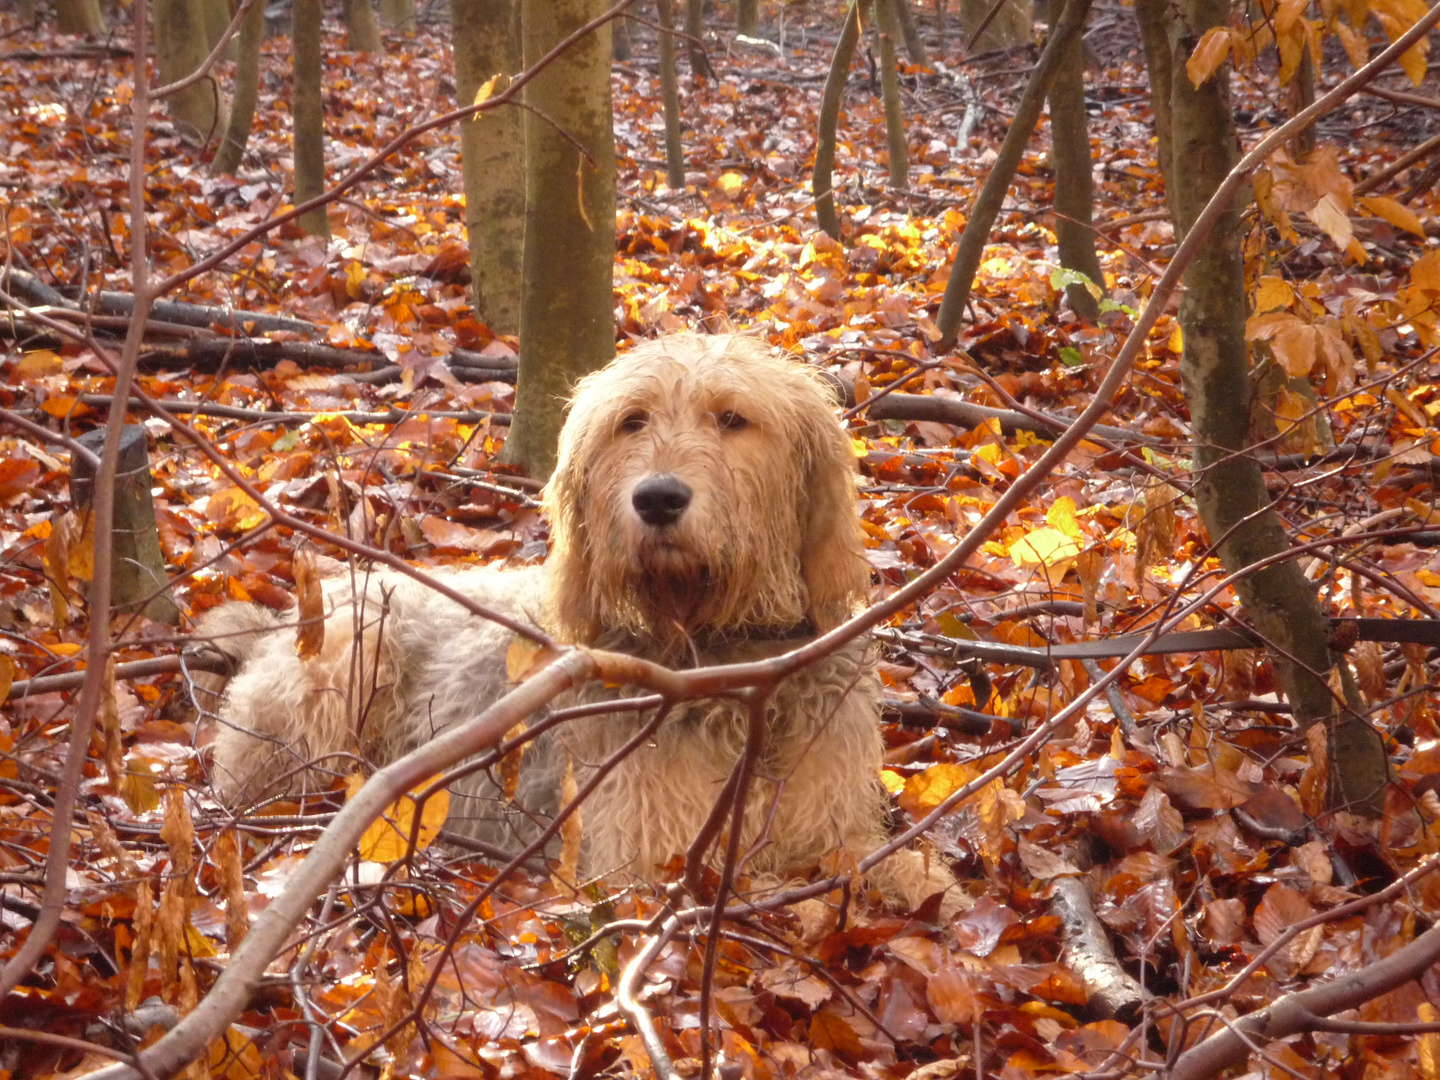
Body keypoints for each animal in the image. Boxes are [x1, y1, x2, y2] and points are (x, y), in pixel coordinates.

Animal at [191, 334, 956, 915]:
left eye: (733, 419)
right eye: (633, 422)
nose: (657, 498)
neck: (722, 651)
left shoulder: (836, 827)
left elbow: (905, 870)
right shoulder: (648, 857)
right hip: (347, 658)